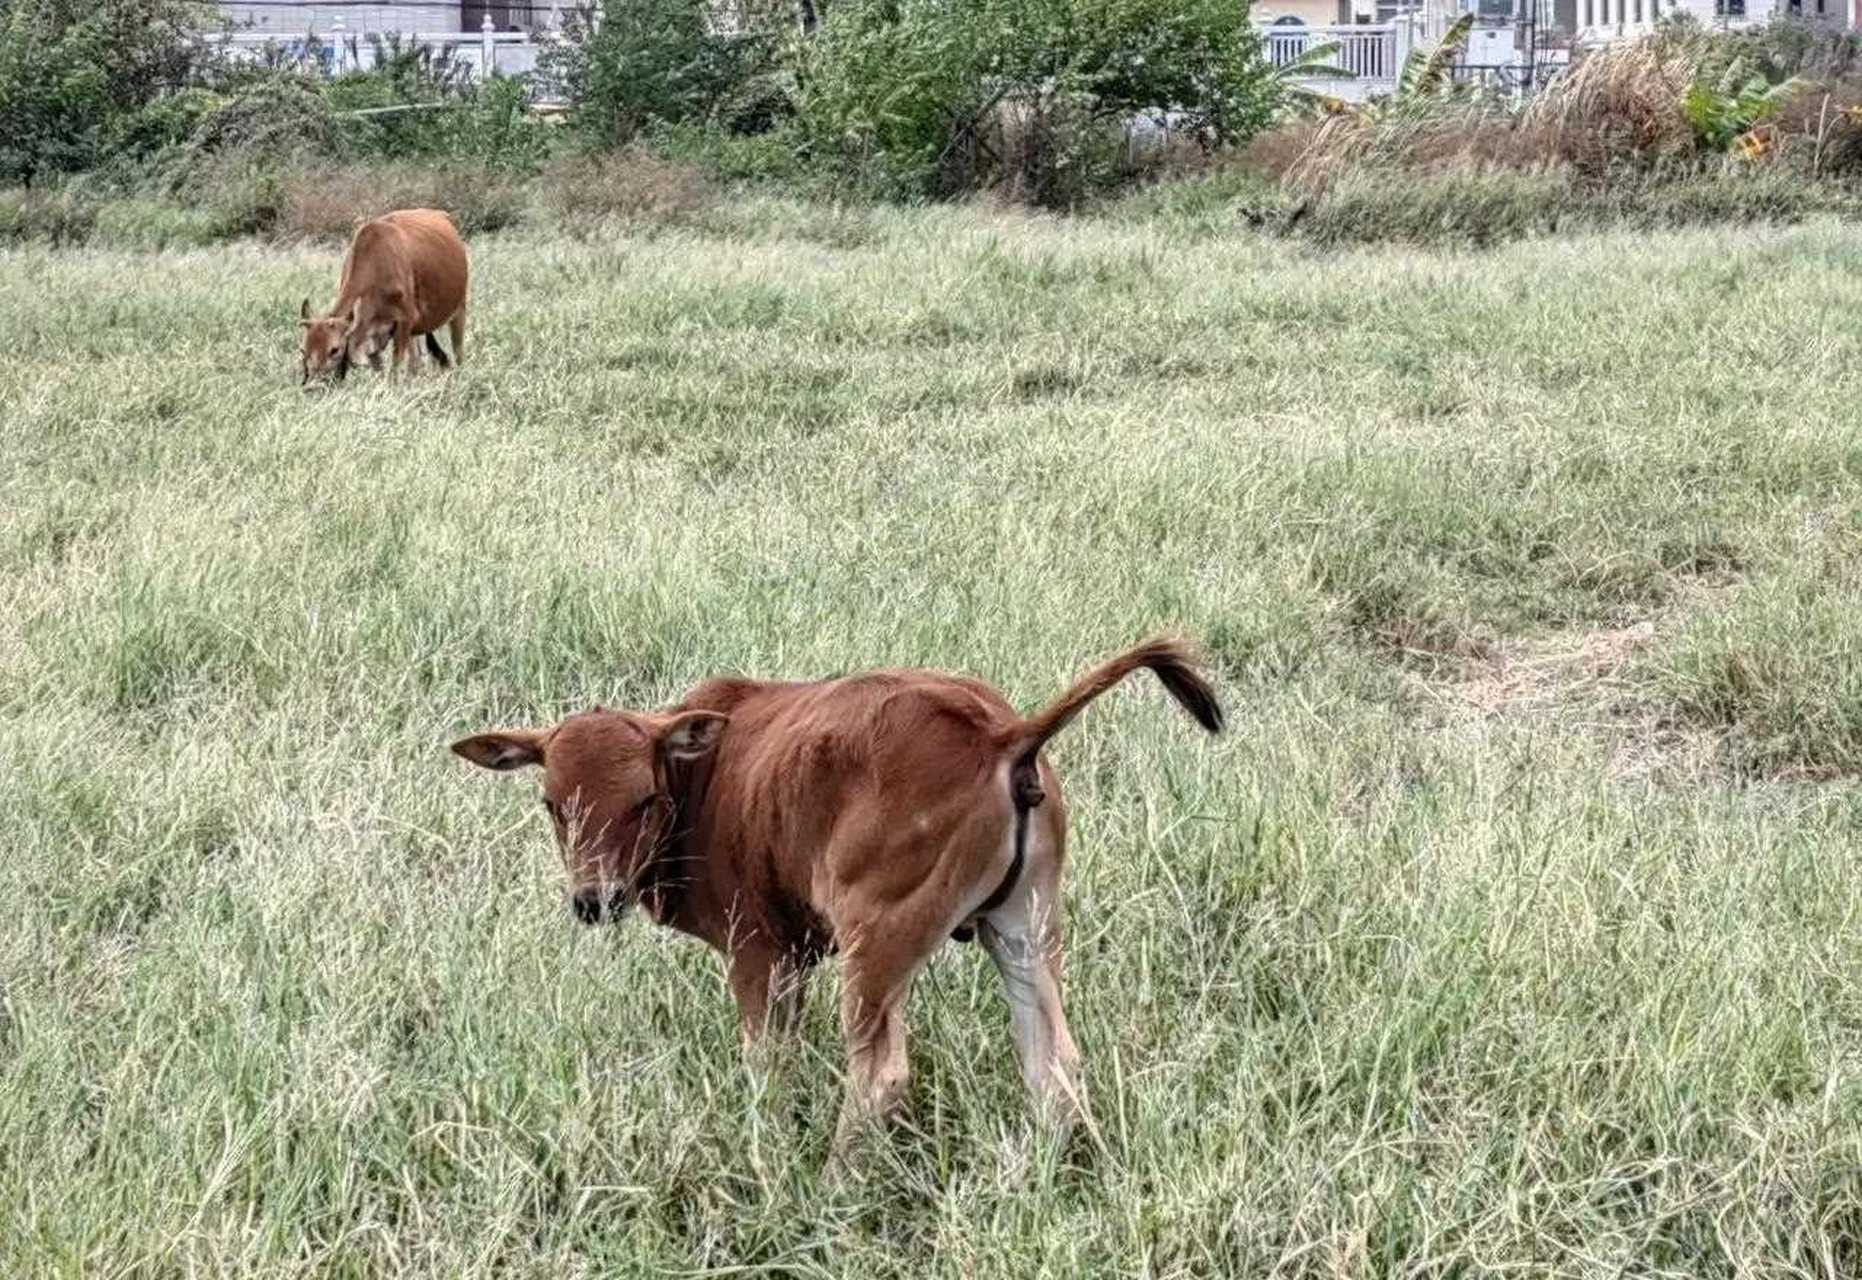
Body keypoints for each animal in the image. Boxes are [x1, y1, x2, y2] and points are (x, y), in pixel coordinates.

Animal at [297, 206, 469, 380]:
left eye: (334, 349)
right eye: (303, 350)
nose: (314, 382)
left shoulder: (404, 322)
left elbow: (394, 371)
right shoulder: (373, 339)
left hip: (459, 308)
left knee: (458, 351)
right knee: (416, 361)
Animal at [450, 637, 1221, 1147]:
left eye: (642, 799)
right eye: (552, 803)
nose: (595, 899)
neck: (707, 775)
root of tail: (1003, 734)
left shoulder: (759, 953)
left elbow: (767, 1066)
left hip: (876, 946)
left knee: (881, 1077)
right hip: (1023, 931)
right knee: (1052, 1064)